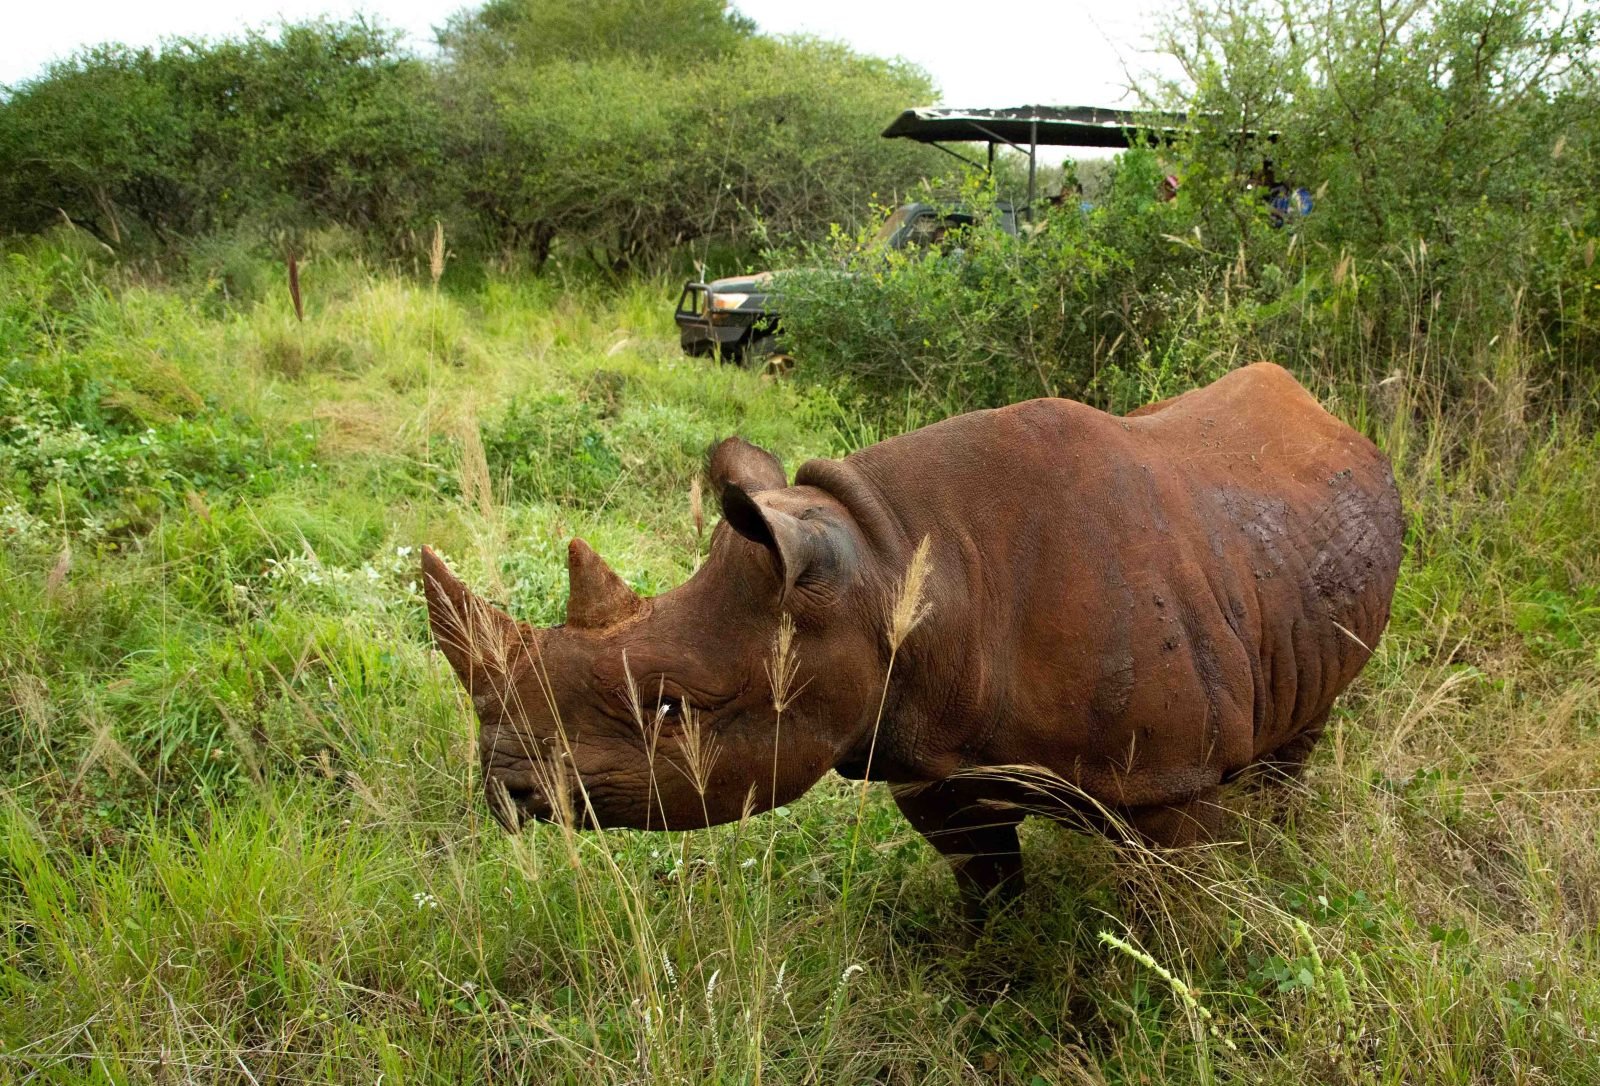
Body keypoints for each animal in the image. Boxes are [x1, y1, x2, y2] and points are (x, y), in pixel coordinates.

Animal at [422, 363, 1403, 919]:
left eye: (674, 710)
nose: (504, 785)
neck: (888, 564)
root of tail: (1325, 414)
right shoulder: (925, 755)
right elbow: (987, 883)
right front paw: (993, 972)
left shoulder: (1173, 778)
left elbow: (1173, 915)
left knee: (1307, 723)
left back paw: (1276, 836)